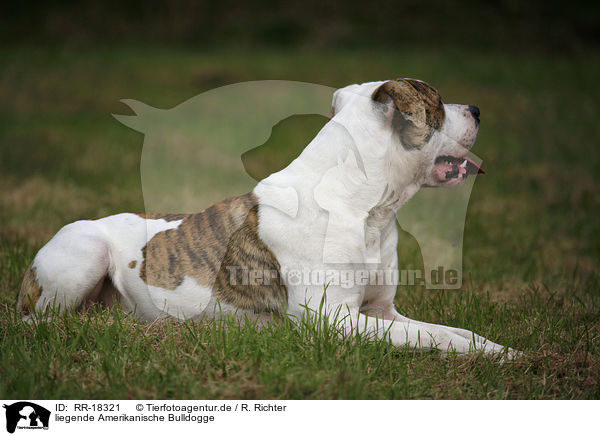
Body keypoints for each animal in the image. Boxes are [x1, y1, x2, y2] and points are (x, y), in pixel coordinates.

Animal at [18, 77, 516, 358]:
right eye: (438, 102)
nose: (476, 109)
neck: (369, 207)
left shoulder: (382, 311)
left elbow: (451, 331)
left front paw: (500, 349)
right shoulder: (335, 321)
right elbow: (438, 339)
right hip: (85, 253)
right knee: (39, 323)